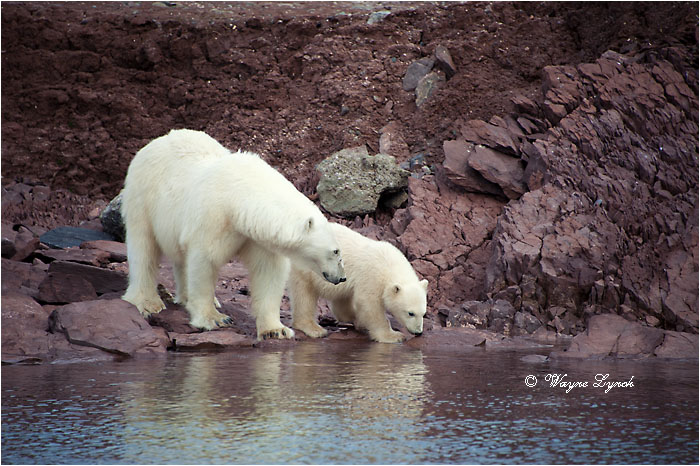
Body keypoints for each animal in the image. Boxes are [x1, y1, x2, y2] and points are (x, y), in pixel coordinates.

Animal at [121, 129, 346, 339]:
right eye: (336, 251)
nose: (342, 277)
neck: (239, 195)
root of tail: (157, 141)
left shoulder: (257, 235)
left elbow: (269, 271)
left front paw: (276, 330)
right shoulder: (213, 217)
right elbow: (204, 261)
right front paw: (213, 319)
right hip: (143, 196)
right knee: (143, 247)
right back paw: (147, 302)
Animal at [288, 222, 428, 343]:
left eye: (423, 313)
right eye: (410, 313)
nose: (418, 332)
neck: (389, 263)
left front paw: (359, 321)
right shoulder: (372, 274)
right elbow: (370, 304)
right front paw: (393, 336)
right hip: (304, 266)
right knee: (304, 294)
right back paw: (313, 328)